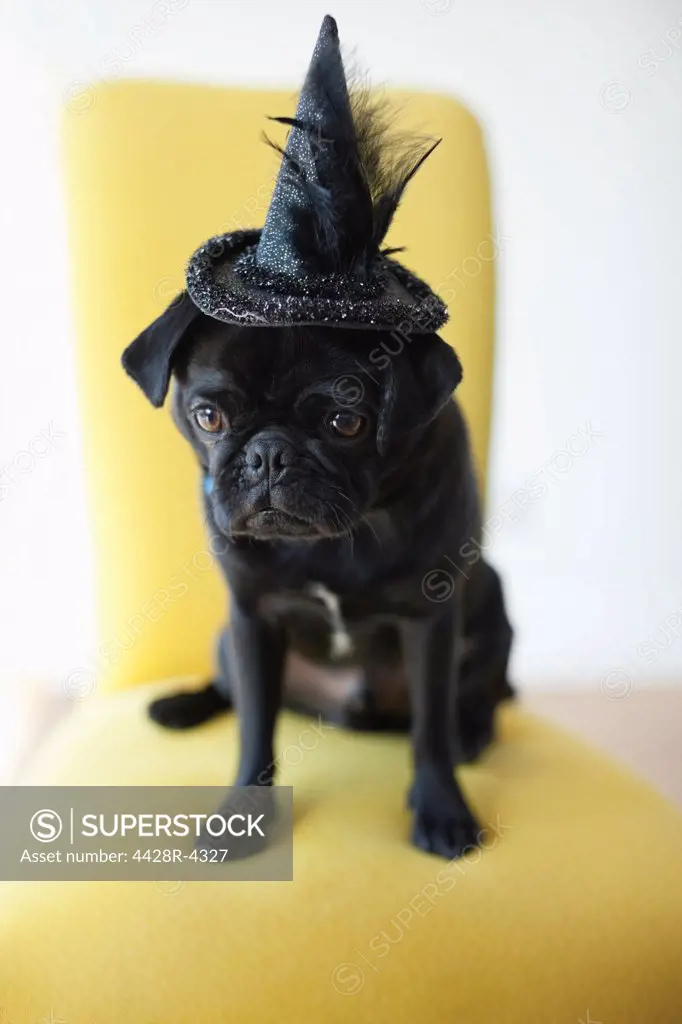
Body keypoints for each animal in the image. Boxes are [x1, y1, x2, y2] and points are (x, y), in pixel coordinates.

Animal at [122, 299, 509, 860]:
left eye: (345, 422)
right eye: (209, 418)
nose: (268, 454)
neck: (333, 540)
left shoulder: (431, 619)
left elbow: (431, 730)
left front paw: (442, 810)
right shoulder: (253, 618)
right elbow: (255, 726)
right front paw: (243, 814)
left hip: (494, 605)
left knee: (486, 689)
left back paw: (472, 732)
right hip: (227, 638)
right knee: (231, 687)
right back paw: (182, 705)